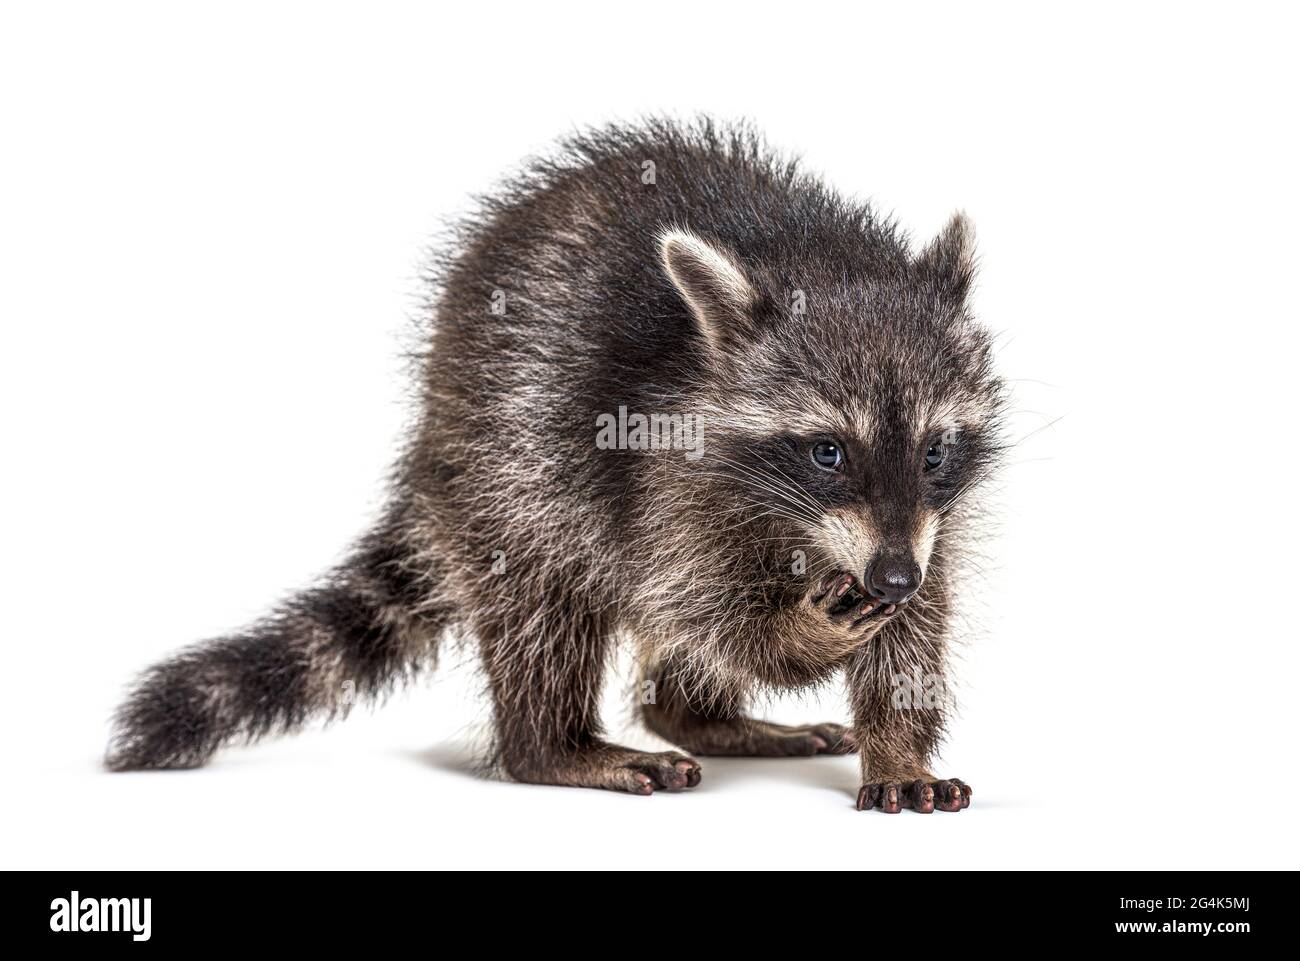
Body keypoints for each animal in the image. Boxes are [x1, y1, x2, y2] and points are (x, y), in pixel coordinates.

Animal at [106, 119, 1005, 813]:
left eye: (934, 449)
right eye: (827, 450)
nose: (890, 578)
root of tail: (430, 424)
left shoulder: (928, 522)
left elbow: (915, 632)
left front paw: (898, 746)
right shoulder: (662, 468)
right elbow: (702, 605)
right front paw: (798, 632)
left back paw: (699, 715)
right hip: (508, 459)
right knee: (543, 601)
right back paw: (553, 744)